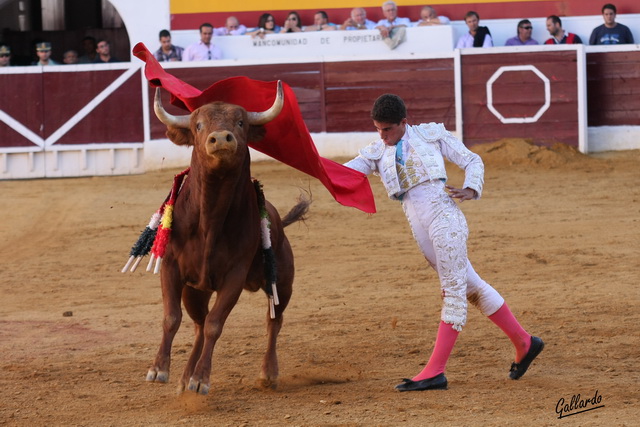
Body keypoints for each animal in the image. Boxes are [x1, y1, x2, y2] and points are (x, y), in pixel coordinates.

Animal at [148, 82, 312, 396]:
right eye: (198, 125)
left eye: (240, 123)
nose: (221, 139)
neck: (210, 221)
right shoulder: (171, 267)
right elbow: (172, 317)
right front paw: (160, 369)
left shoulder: (234, 277)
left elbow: (216, 324)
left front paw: (202, 379)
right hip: (195, 290)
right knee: (198, 324)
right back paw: (184, 377)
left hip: (282, 283)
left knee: (273, 321)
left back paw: (268, 373)